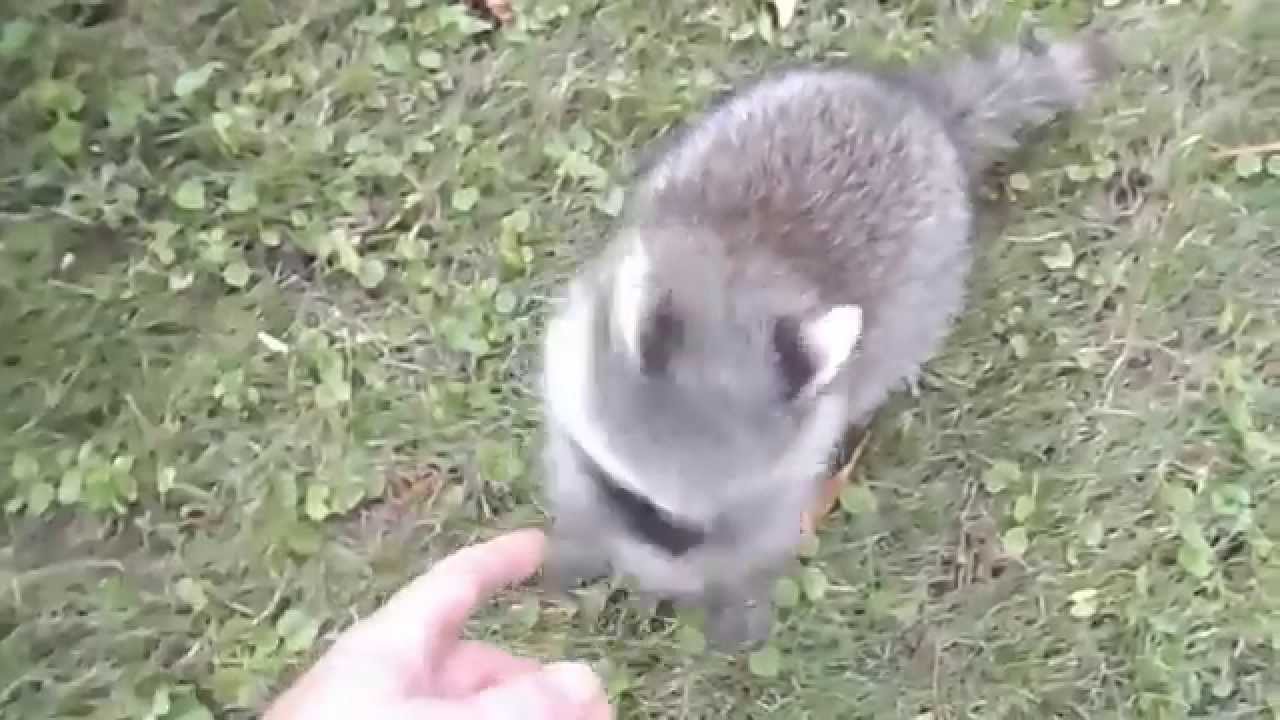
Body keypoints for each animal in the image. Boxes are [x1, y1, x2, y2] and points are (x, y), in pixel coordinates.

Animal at [538, 28, 1114, 650]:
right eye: (640, 504)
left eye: (719, 524)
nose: (667, 588)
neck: (730, 301)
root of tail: (923, 109)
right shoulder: (578, 347)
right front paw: (580, 534)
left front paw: (738, 590)